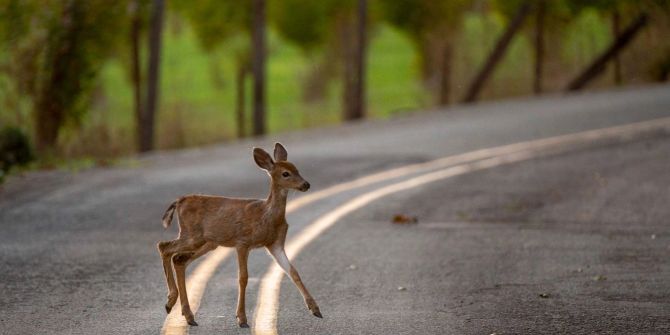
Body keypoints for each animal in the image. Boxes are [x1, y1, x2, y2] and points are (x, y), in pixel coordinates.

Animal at [159, 143, 324, 326]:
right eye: (285, 173)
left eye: (297, 169)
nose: (306, 185)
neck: (267, 216)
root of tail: (180, 201)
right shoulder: (242, 242)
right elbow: (243, 278)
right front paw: (241, 317)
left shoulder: (275, 244)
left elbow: (293, 271)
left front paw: (315, 309)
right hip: (192, 235)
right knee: (164, 247)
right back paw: (171, 302)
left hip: (208, 242)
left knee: (179, 259)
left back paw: (187, 315)